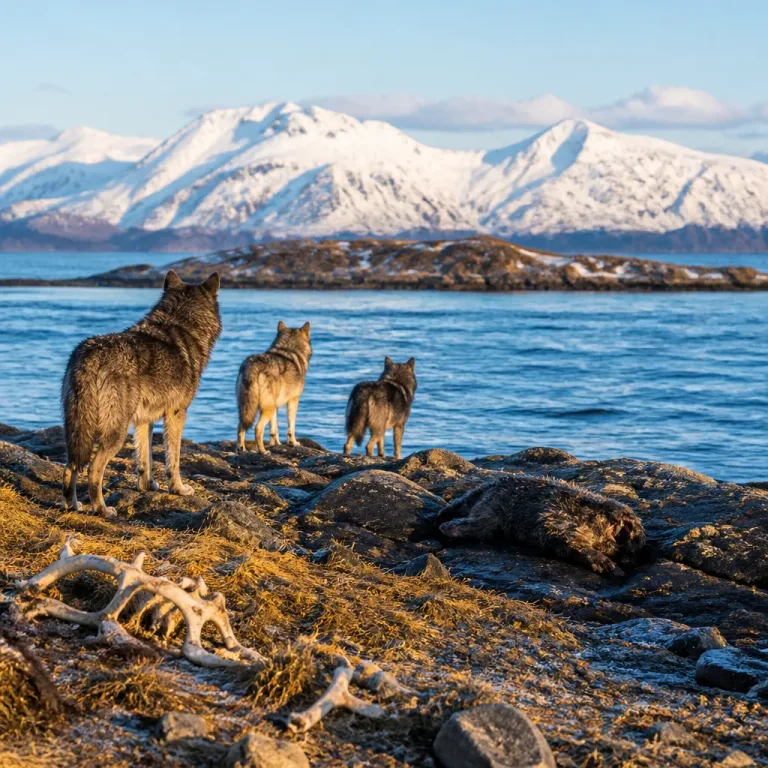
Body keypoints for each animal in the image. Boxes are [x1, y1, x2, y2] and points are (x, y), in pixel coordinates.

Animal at [61, 271, 221, 518]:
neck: (183, 326)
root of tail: (90, 357)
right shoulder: (177, 413)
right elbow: (173, 459)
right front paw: (179, 489)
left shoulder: (145, 420)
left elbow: (145, 458)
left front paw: (148, 486)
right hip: (116, 433)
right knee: (93, 469)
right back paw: (102, 510)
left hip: (77, 429)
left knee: (71, 465)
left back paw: (73, 505)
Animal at [236, 321, 312, 454]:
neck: (289, 349)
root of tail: (253, 366)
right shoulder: (293, 401)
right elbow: (291, 427)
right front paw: (293, 443)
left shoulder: (275, 405)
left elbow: (274, 429)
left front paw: (276, 444)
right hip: (266, 409)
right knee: (258, 428)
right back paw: (263, 451)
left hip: (249, 408)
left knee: (241, 426)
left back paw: (242, 449)